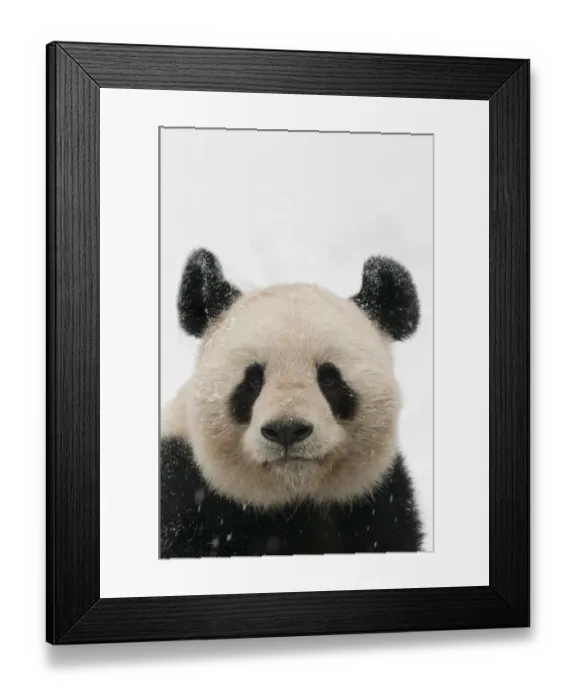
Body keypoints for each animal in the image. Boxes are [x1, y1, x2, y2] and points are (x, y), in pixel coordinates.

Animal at [160, 248, 424, 558]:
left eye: (329, 378)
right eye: (253, 380)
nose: (286, 429)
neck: (294, 499)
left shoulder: (378, 505)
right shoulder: (186, 496)